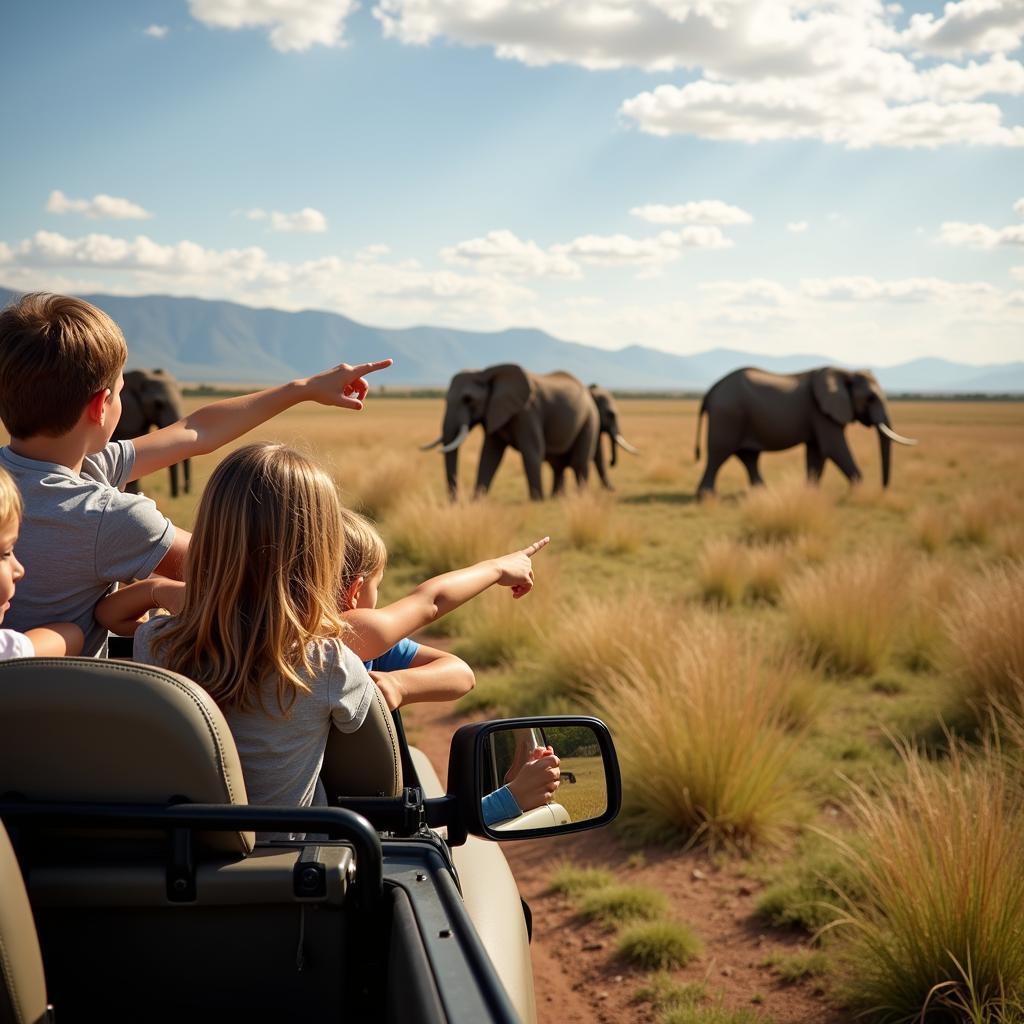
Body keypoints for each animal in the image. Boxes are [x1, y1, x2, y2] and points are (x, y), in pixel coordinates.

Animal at [421, 366, 598, 501]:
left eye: (468, 399)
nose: (455, 502)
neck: (485, 373)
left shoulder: (527, 412)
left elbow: (532, 451)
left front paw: (537, 501)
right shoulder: (494, 411)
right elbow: (489, 455)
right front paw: (476, 501)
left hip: (589, 419)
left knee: (579, 462)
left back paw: (581, 498)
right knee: (558, 466)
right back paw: (556, 498)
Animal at [692, 366, 917, 497]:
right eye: (870, 398)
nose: (883, 489)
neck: (845, 371)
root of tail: (711, 390)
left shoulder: (819, 414)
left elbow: (817, 452)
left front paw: (810, 493)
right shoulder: (822, 412)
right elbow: (834, 448)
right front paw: (860, 491)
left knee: (749, 457)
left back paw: (763, 493)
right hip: (728, 415)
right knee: (719, 454)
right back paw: (706, 497)